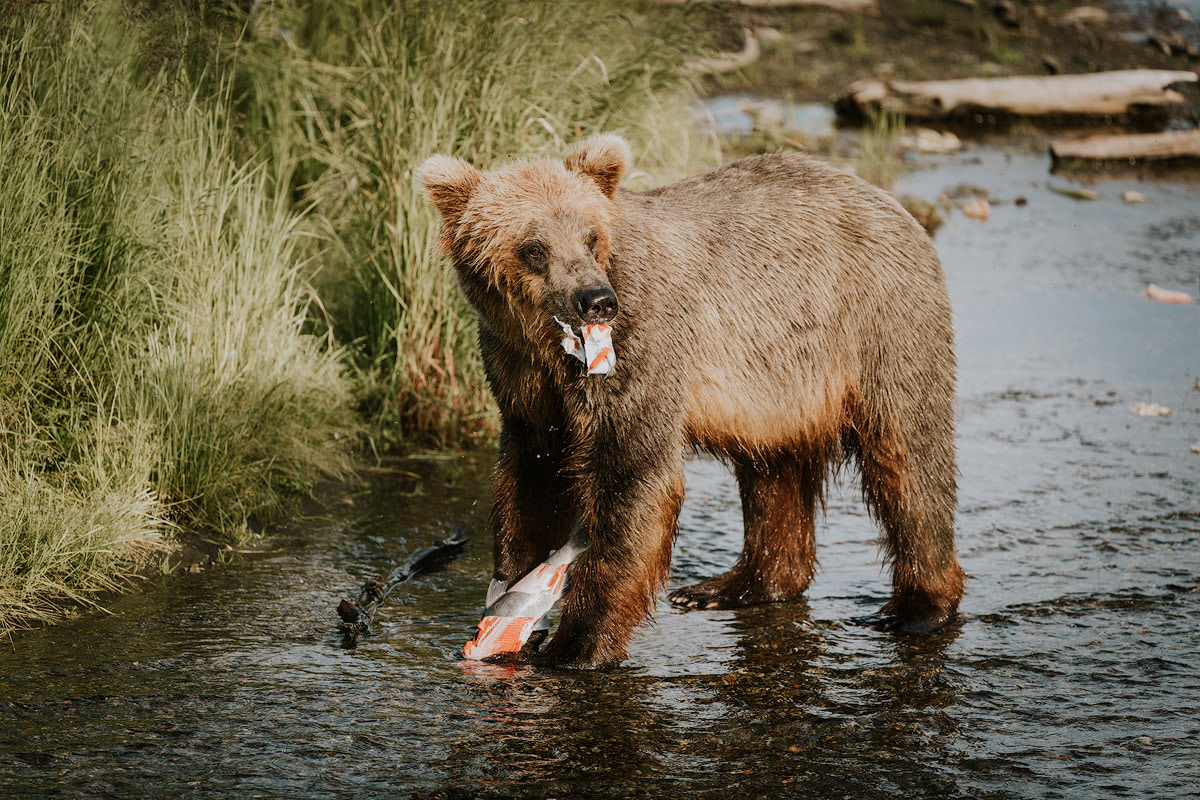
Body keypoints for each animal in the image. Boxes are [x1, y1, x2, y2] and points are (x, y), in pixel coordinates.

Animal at [422, 137, 964, 671]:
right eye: (534, 248)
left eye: (591, 237)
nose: (595, 300)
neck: (548, 346)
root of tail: (887, 202)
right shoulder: (523, 380)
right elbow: (533, 481)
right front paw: (514, 603)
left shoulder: (638, 350)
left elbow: (631, 478)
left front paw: (576, 645)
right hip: (781, 382)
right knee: (775, 470)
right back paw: (735, 586)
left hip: (877, 326)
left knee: (907, 457)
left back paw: (915, 608)